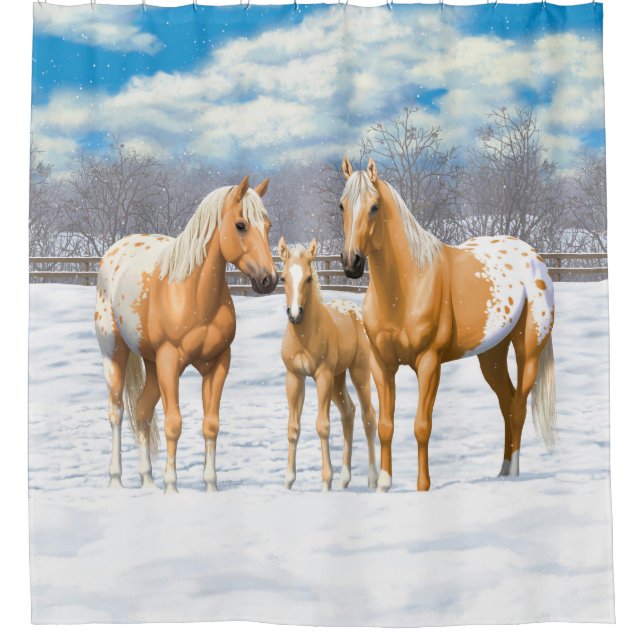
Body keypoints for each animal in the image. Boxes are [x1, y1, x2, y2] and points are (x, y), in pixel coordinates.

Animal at [95, 177, 277, 493]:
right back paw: (116, 480)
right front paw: (172, 488)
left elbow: (211, 424)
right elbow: (174, 424)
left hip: (152, 364)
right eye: (241, 225)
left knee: (142, 411)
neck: (193, 294)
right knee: (116, 412)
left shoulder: (218, 364)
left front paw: (211, 487)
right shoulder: (170, 361)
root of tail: (116, 249)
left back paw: (147, 480)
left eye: (267, 226)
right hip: (115, 354)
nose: (269, 280)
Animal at [278, 237, 378, 491]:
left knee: (368, 416)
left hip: (358, 372)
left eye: (308, 278)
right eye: (283, 278)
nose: (295, 314)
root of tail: (353, 310)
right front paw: (288, 481)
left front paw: (326, 481)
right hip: (337, 379)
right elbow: (293, 428)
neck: (305, 336)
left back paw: (373, 479)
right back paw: (345, 479)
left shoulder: (322, 375)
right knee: (348, 412)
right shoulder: (294, 377)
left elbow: (322, 426)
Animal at [338, 157, 556, 492]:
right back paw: (503, 470)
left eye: (374, 207)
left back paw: (515, 473)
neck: (406, 286)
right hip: (492, 355)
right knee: (507, 402)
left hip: (528, 350)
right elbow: (386, 424)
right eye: (342, 206)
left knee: (518, 407)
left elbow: (422, 425)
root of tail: (534, 256)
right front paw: (384, 484)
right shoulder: (381, 364)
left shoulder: (429, 363)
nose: (351, 263)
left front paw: (423, 486)